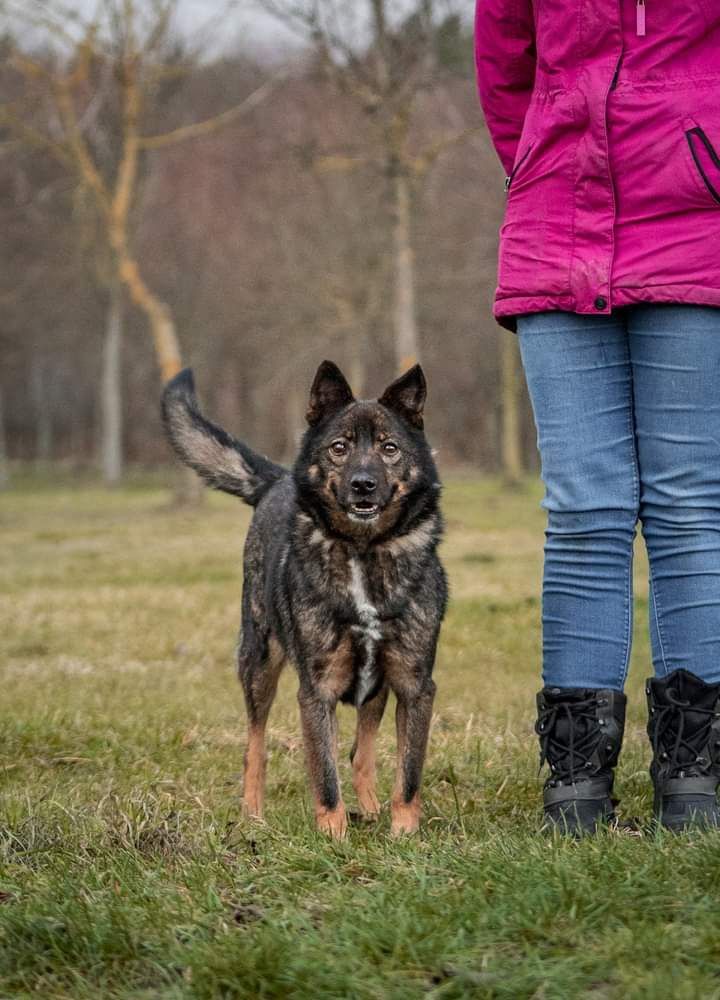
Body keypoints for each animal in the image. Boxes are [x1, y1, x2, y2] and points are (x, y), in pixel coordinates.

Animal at [162, 360, 450, 836]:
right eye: (339, 448)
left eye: (390, 448)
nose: (363, 485)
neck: (363, 552)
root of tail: (278, 480)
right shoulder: (318, 689)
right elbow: (325, 778)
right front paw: (334, 837)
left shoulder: (413, 684)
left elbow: (408, 774)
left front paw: (404, 834)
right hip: (258, 662)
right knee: (255, 747)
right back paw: (253, 818)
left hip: (376, 687)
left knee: (360, 754)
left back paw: (370, 810)